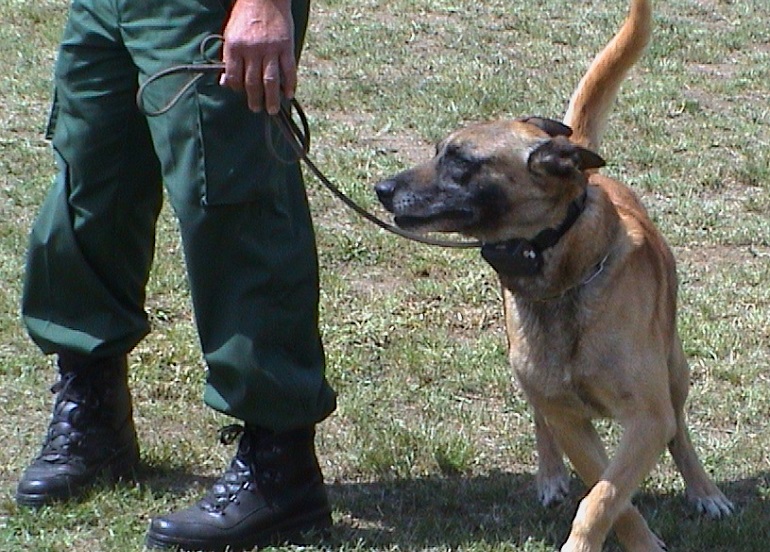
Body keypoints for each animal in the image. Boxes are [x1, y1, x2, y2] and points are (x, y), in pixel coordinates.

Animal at [376, 2, 728, 548]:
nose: (382, 189)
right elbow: (609, 498)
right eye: (439, 152)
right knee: (541, 416)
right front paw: (628, 534)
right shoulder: (570, 419)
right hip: (530, 372)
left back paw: (703, 489)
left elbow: (605, 495)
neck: (565, 279)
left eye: (460, 161)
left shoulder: (647, 418)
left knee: (681, 431)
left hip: (675, 369)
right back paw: (549, 475)